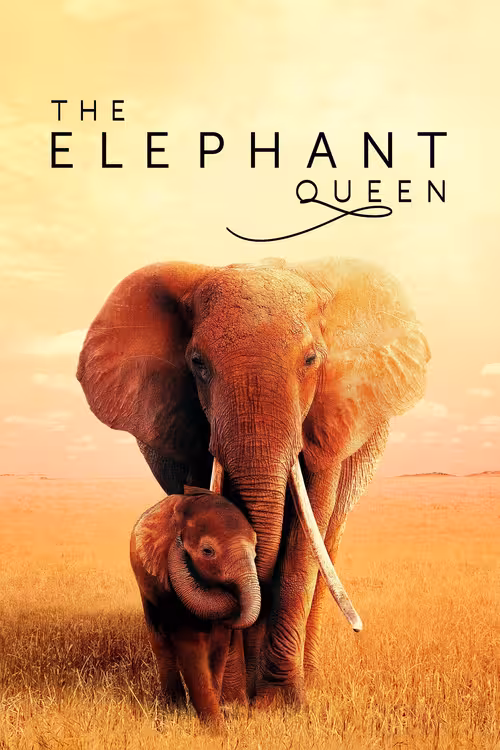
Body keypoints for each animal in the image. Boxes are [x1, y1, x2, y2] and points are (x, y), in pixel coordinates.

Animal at [130, 485, 260, 722]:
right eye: (207, 551)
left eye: (255, 551)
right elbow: (191, 644)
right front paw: (214, 728)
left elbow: (219, 647)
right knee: (160, 641)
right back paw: (174, 707)